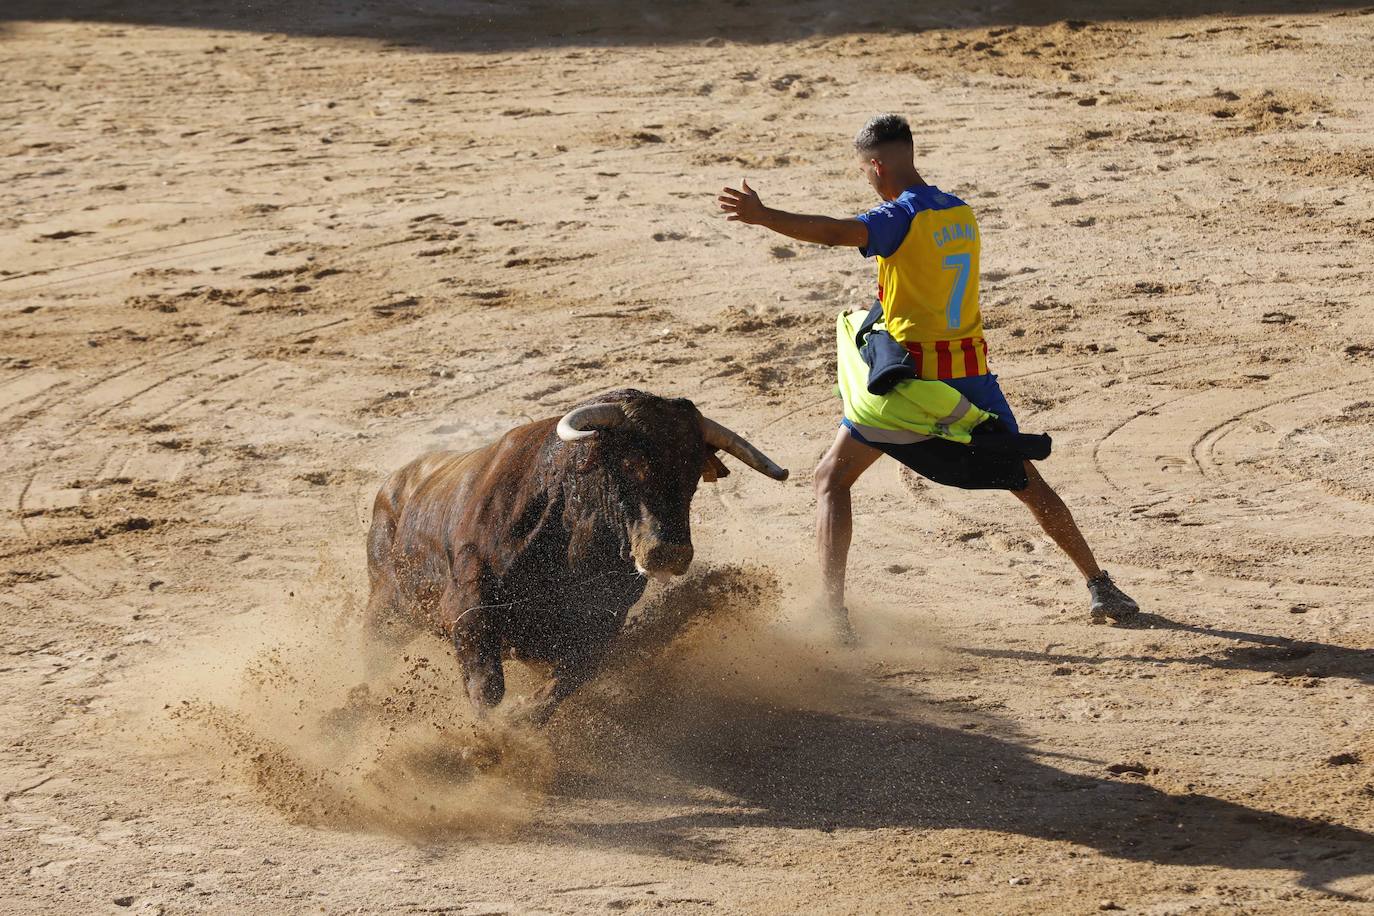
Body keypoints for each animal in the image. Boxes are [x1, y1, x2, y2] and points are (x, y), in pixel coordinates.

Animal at [365, 390, 791, 725]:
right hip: (385, 604)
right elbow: (487, 687)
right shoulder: (467, 606)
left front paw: (521, 718)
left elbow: (565, 681)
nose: (669, 550)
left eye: (691, 475)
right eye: (628, 465)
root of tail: (394, 485)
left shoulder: (601, 627)